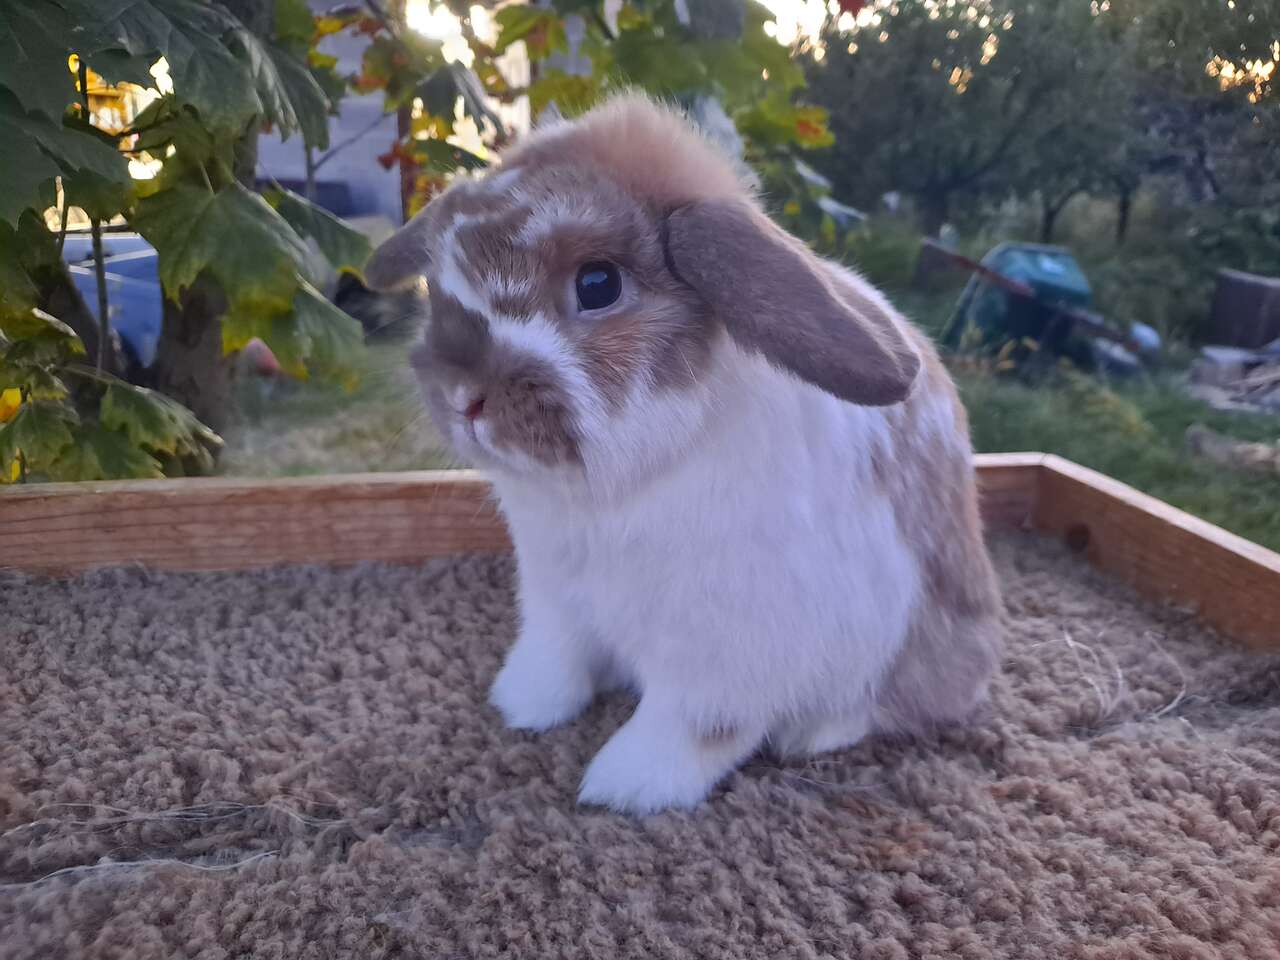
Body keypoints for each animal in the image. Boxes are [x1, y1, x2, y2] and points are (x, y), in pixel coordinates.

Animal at [360, 90, 998, 814]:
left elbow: (691, 725)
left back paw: (813, 733)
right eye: (441, 280)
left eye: (598, 284)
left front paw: (624, 787)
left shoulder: (726, 650)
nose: (463, 396)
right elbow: (555, 661)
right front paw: (520, 706)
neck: (611, 494)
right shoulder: (555, 601)